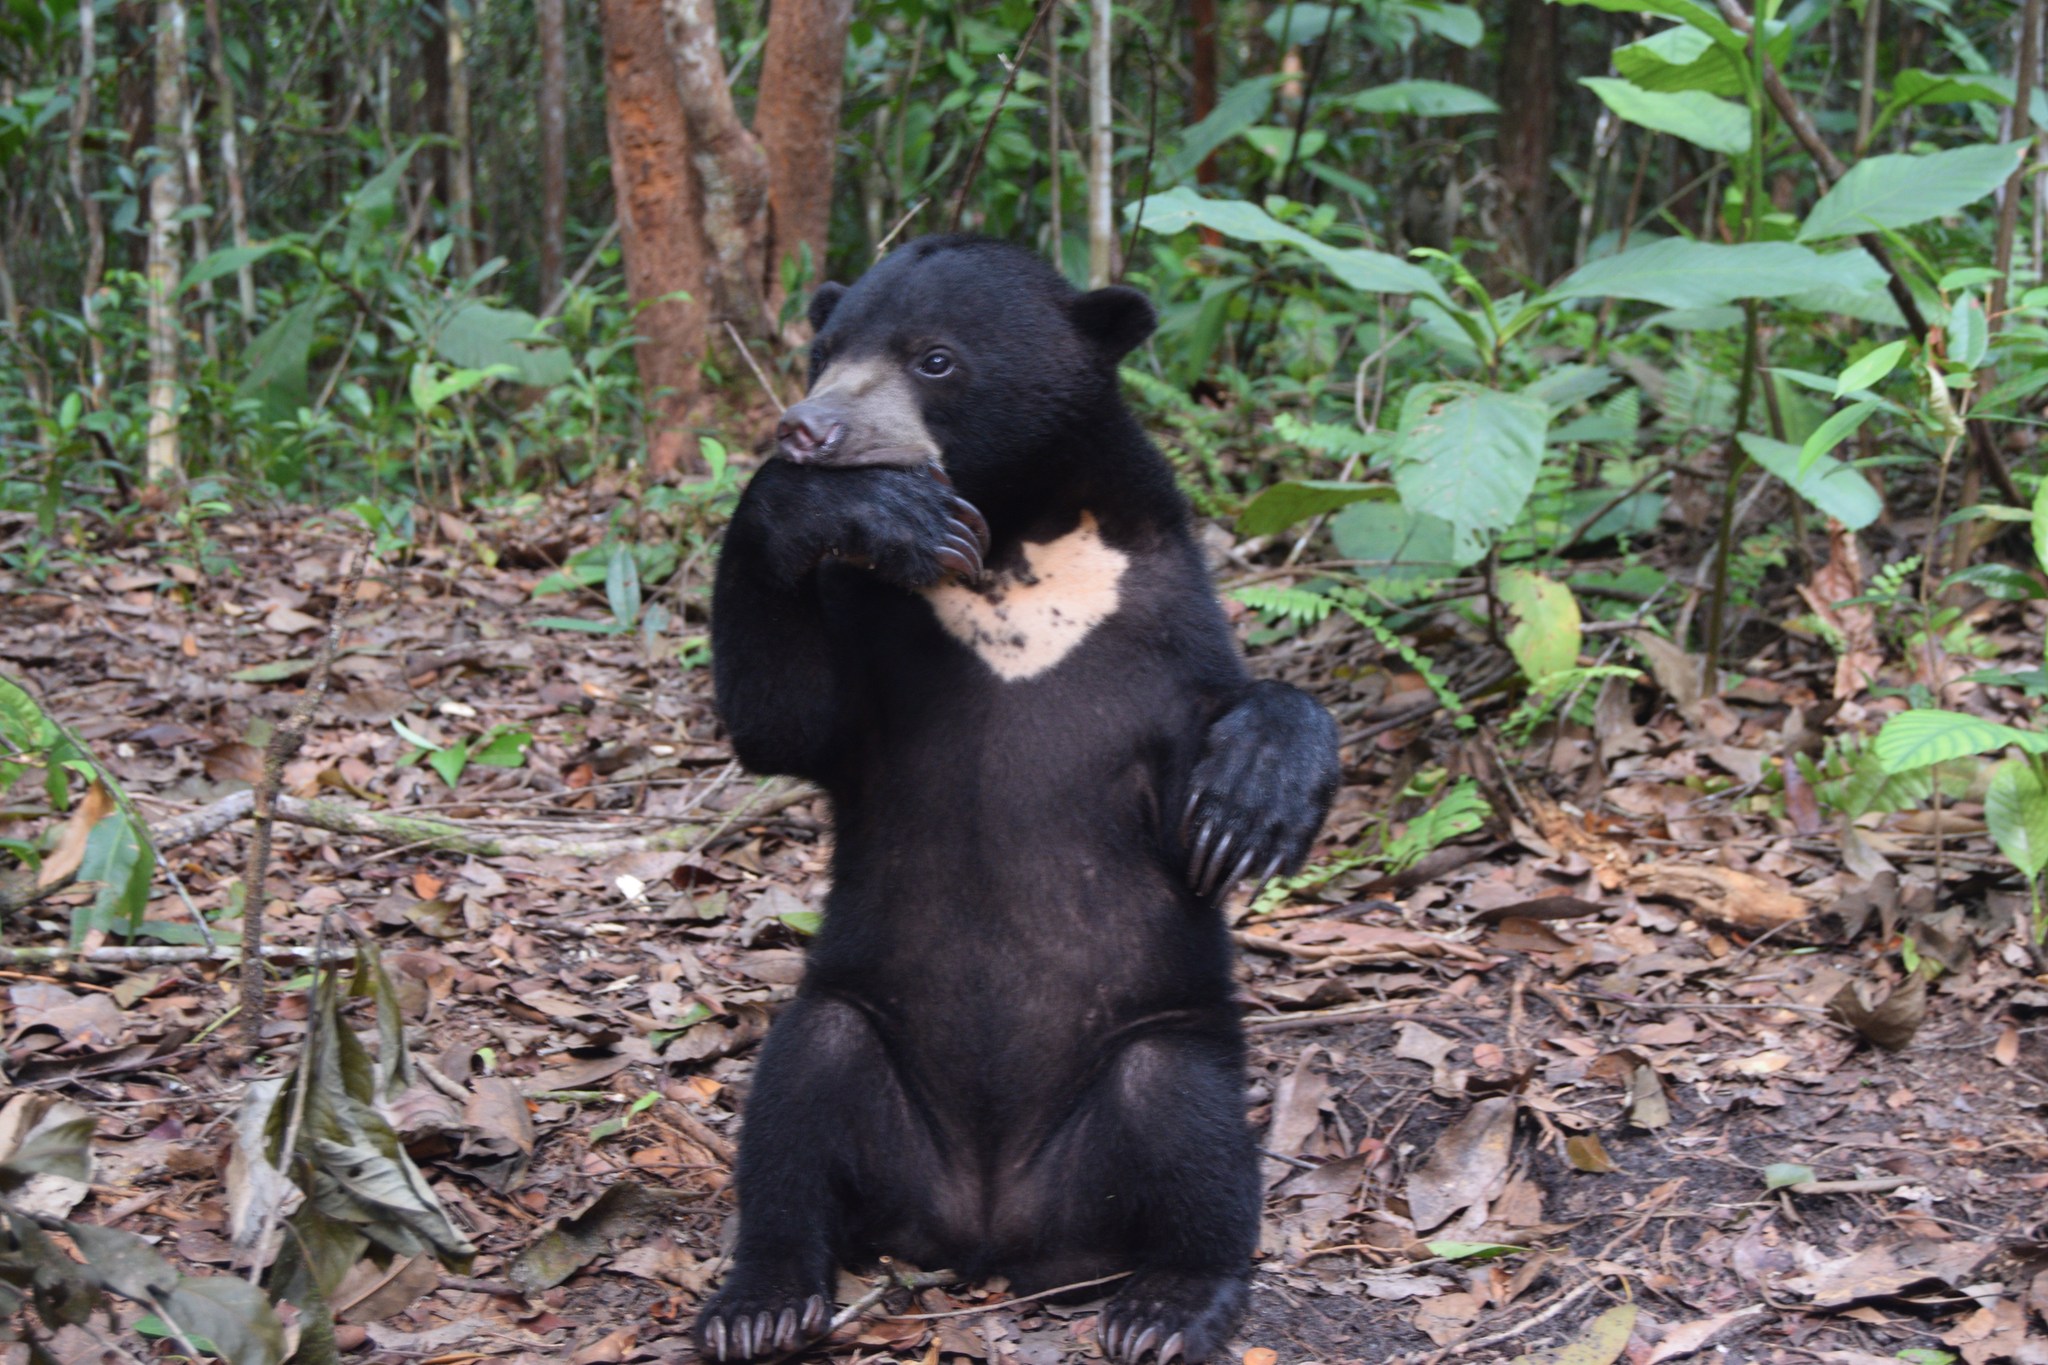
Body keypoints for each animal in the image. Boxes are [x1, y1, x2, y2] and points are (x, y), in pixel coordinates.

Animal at [696, 236, 1340, 1365]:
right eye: (826, 349)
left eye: (936, 359)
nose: (807, 427)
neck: (1013, 548)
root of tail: (986, 1229)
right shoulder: (875, 631)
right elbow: (784, 714)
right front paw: (860, 509)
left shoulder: (1156, 615)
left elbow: (1214, 732)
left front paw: (1250, 802)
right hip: (868, 1041)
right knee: (800, 1088)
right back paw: (761, 1299)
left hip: (1151, 1047)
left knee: (1192, 1127)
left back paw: (1168, 1305)